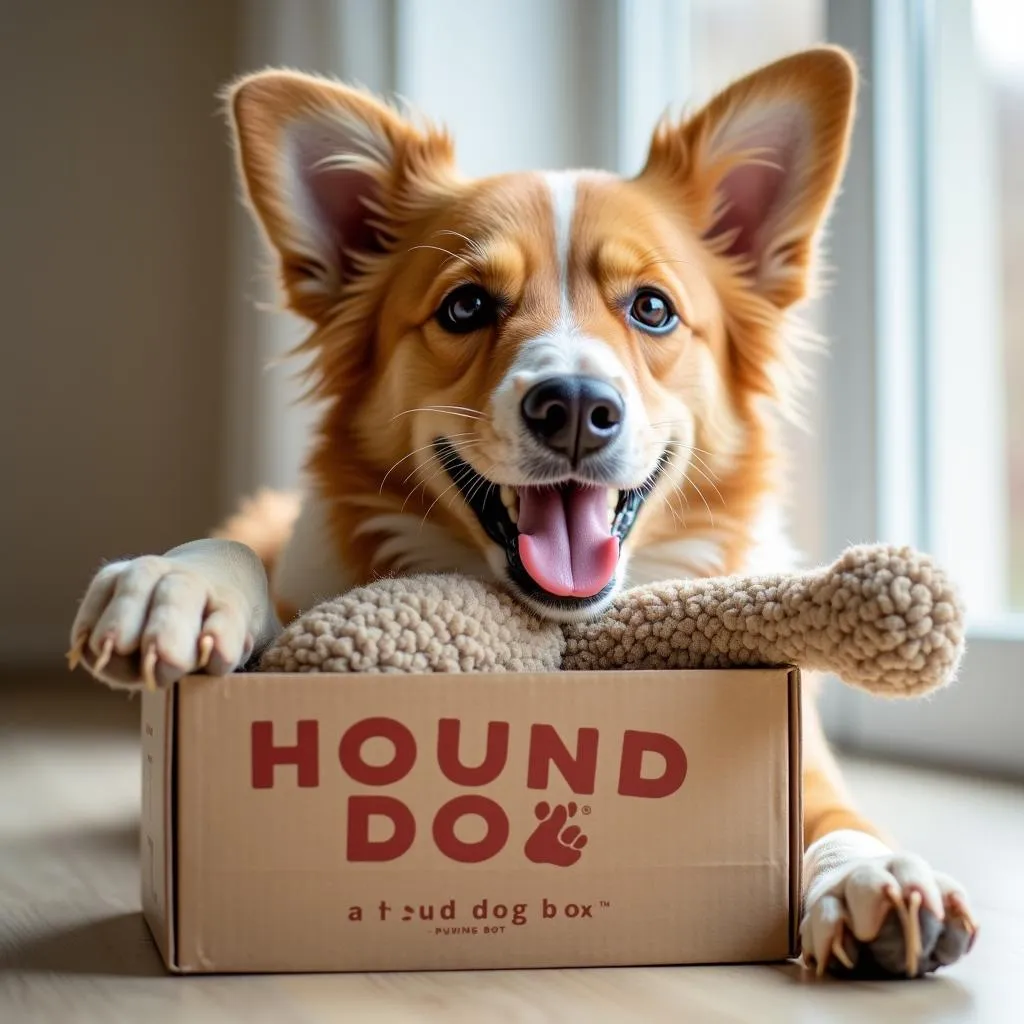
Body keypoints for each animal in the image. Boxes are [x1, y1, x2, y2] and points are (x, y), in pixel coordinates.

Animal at [68, 48, 978, 974]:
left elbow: (836, 816)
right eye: (466, 305)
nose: (574, 407)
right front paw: (176, 587)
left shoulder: (801, 748)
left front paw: (872, 872)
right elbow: (233, 571)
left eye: (653, 307)